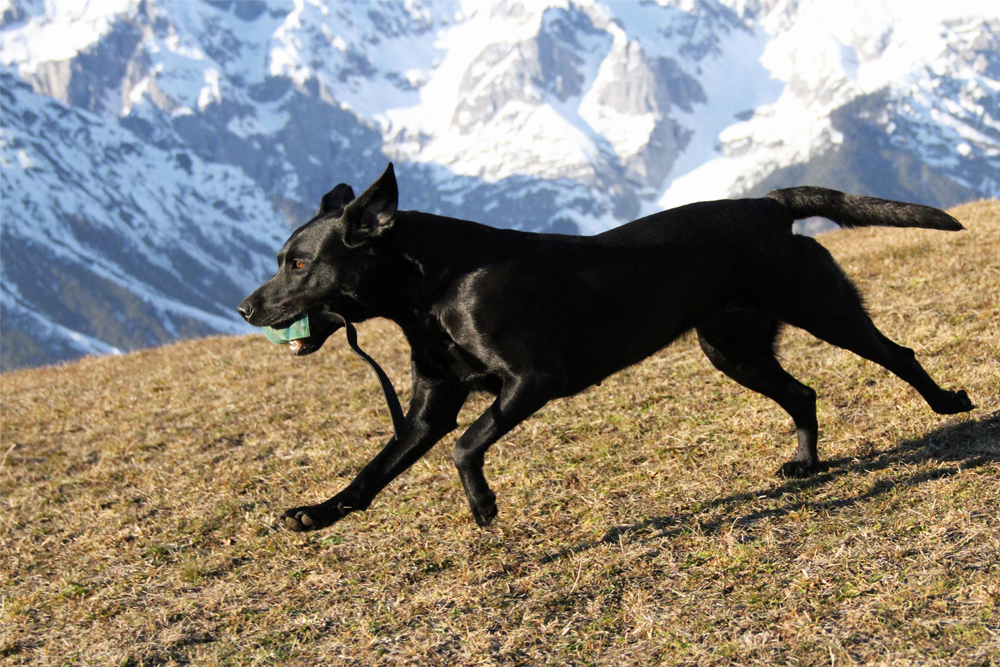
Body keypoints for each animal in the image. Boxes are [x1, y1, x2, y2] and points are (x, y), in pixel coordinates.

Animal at [240, 163, 976, 532]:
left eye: (299, 264)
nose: (246, 308)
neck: (433, 289)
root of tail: (769, 204)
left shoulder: (532, 379)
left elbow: (465, 445)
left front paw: (482, 505)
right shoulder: (429, 408)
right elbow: (373, 472)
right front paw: (317, 513)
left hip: (823, 309)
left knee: (899, 355)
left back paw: (949, 403)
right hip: (730, 347)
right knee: (802, 392)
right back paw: (805, 463)